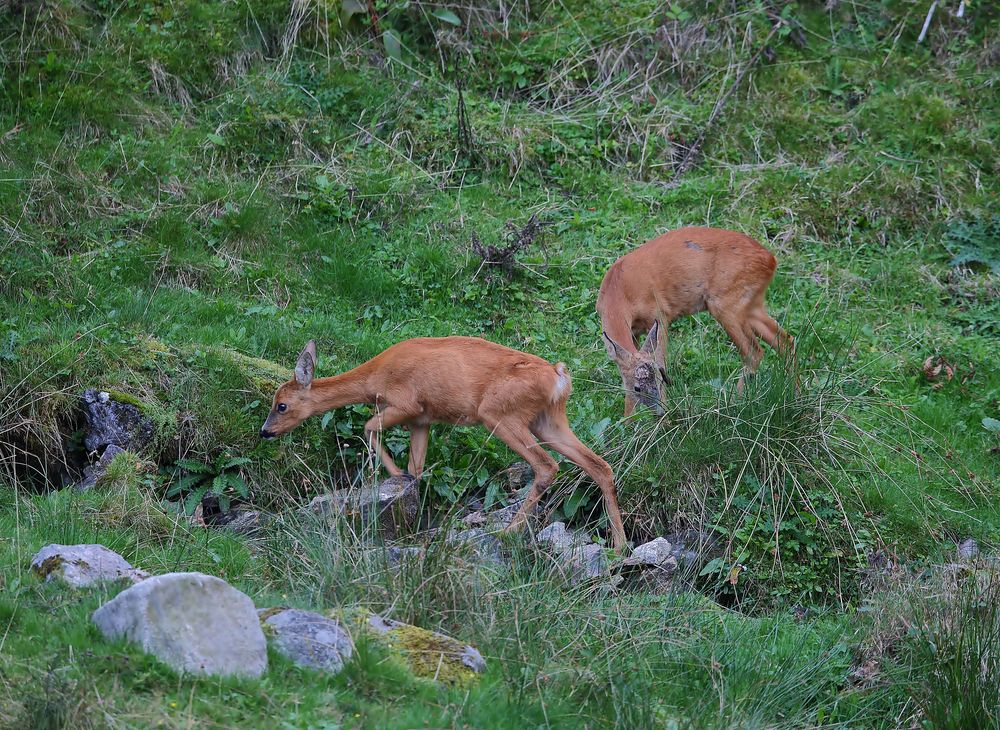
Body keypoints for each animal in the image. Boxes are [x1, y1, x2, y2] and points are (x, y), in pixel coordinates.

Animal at [592, 225, 796, 416]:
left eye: (659, 378)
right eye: (637, 387)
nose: (659, 412)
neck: (617, 290)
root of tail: (771, 259)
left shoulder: (660, 315)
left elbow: (661, 361)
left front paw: (664, 422)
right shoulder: (634, 333)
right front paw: (628, 422)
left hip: (725, 303)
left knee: (753, 352)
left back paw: (735, 405)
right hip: (751, 304)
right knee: (785, 340)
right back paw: (795, 399)